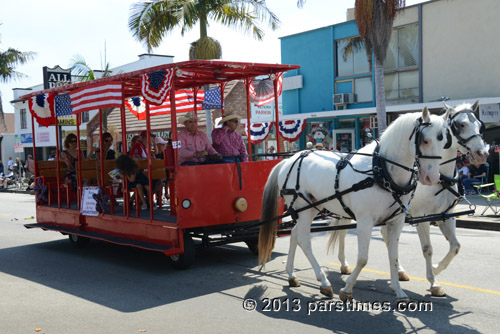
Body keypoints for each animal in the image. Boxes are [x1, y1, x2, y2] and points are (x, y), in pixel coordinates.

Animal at [260, 108, 452, 302]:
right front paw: (347, 288)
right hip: (302, 207)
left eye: (444, 141)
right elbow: (363, 259)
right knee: (304, 240)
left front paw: (398, 291)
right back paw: (323, 281)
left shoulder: (396, 221)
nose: (432, 178)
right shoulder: (365, 221)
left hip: (311, 207)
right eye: (425, 140)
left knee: (294, 234)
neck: (382, 171)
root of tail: (288, 160)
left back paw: (291, 275)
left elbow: (393, 256)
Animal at [332, 100, 488, 296]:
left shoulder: (446, 215)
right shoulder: (421, 216)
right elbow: (428, 249)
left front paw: (436, 269)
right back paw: (344, 264)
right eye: (461, 125)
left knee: (385, 236)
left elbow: (455, 246)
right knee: (343, 231)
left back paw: (399, 271)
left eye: (480, 125)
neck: (440, 177)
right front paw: (433, 281)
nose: (482, 154)